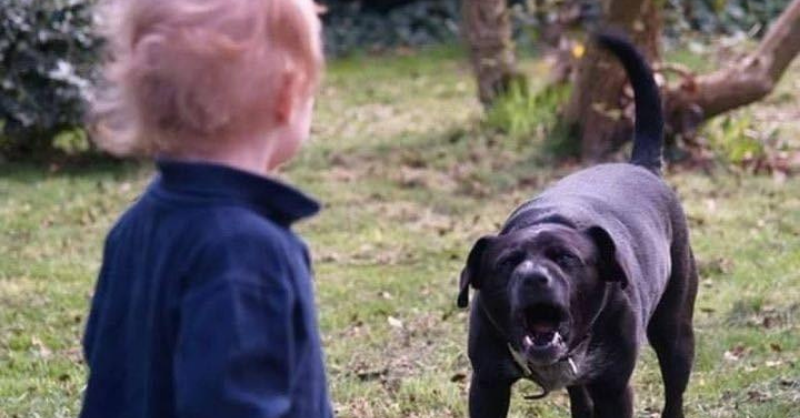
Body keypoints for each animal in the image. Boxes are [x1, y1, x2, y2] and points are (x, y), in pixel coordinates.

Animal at [457, 32, 698, 418]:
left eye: (566, 258)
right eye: (507, 263)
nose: (534, 277)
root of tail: (641, 166)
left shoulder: (614, 388)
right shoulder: (488, 384)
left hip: (675, 331)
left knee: (674, 390)